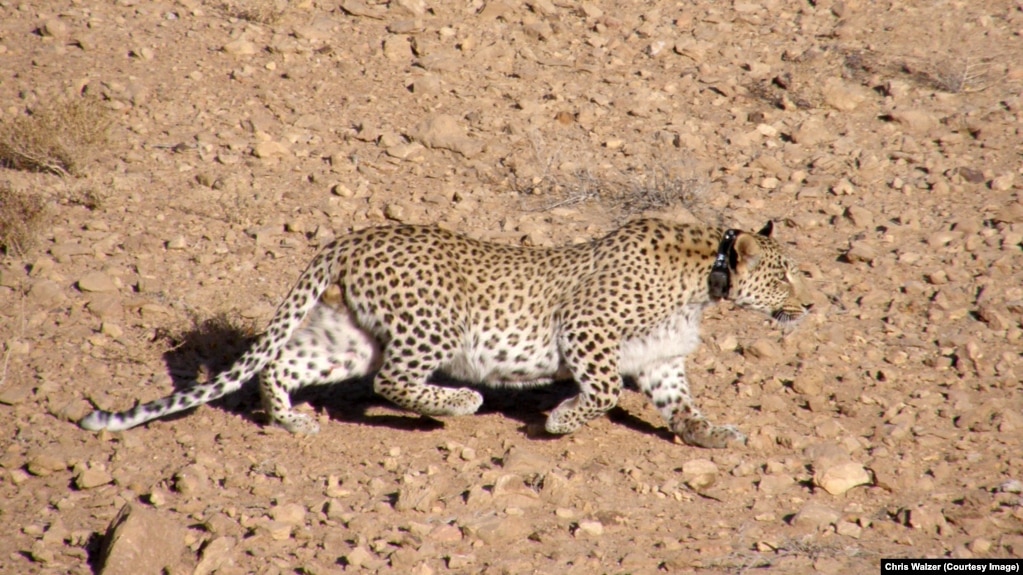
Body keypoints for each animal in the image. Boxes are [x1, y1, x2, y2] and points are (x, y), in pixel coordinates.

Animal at [79, 216, 810, 446]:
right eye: (783, 274)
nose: (803, 306)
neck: (706, 277)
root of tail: (352, 237)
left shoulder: (661, 363)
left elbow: (682, 405)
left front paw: (712, 435)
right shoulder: (586, 328)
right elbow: (601, 390)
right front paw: (561, 420)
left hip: (349, 334)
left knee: (282, 365)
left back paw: (292, 421)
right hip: (432, 327)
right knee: (393, 381)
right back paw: (460, 402)